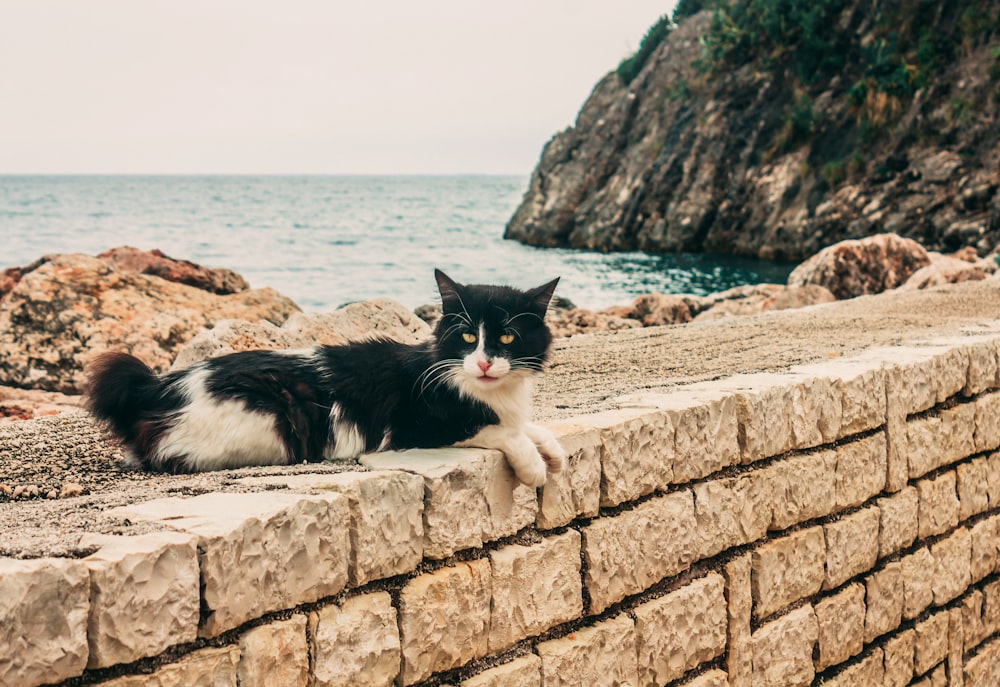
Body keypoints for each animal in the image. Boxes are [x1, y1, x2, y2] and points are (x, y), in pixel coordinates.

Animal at [86, 272, 568, 486]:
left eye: (506, 337)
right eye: (467, 336)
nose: (484, 364)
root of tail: (159, 385)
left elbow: (531, 426)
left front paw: (555, 453)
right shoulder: (419, 426)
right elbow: (502, 432)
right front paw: (535, 468)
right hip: (268, 422)